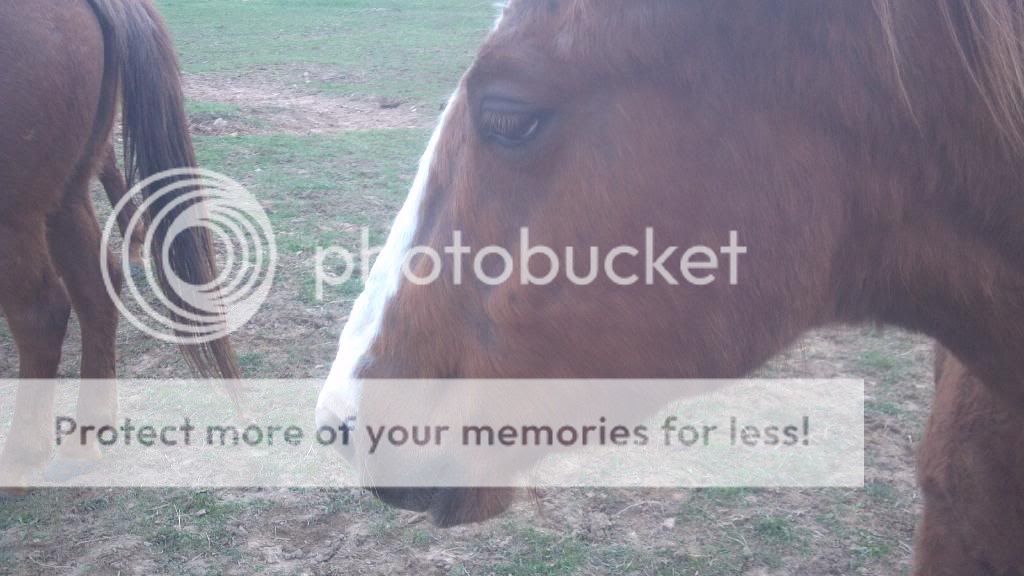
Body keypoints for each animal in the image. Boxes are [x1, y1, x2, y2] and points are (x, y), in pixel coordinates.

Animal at [0, 0, 240, 486]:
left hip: (16, 210)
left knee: (41, 314)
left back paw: (21, 457)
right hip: (66, 194)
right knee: (96, 288)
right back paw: (85, 438)